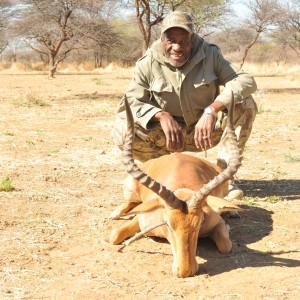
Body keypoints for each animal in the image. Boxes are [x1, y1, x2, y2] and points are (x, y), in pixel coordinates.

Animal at [109, 93, 243, 276]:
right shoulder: (141, 219)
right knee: (131, 203)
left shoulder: (216, 223)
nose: (185, 271)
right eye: (168, 223)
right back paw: (115, 213)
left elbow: (226, 245)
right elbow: (114, 236)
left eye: (199, 222)